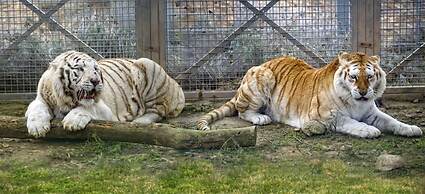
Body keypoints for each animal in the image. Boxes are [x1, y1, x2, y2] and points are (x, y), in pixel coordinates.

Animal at [195, 52, 420, 138]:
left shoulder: (371, 112)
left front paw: (411, 129)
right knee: (242, 111)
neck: (357, 103)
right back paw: (261, 117)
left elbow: (391, 120)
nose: (364, 92)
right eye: (354, 77)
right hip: (263, 77)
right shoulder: (326, 116)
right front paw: (370, 130)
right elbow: (353, 123)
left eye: (370, 77)